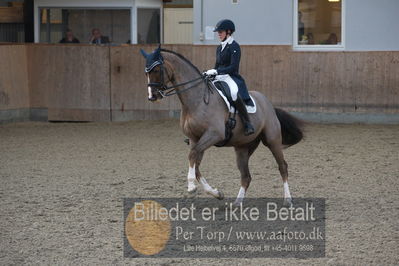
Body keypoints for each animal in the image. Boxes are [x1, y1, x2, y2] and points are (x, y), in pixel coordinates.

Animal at [141, 46, 304, 206]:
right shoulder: (195, 138)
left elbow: (192, 155)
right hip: (243, 148)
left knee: (282, 167)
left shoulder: (214, 134)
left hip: (272, 140)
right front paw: (217, 193)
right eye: (146, 72)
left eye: (156, 70)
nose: (152, 97)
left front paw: (191, 186)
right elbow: (196, 165)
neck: (196, 101)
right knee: (246, 176)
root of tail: (267, 102)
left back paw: (287, 200)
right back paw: (237, 204)